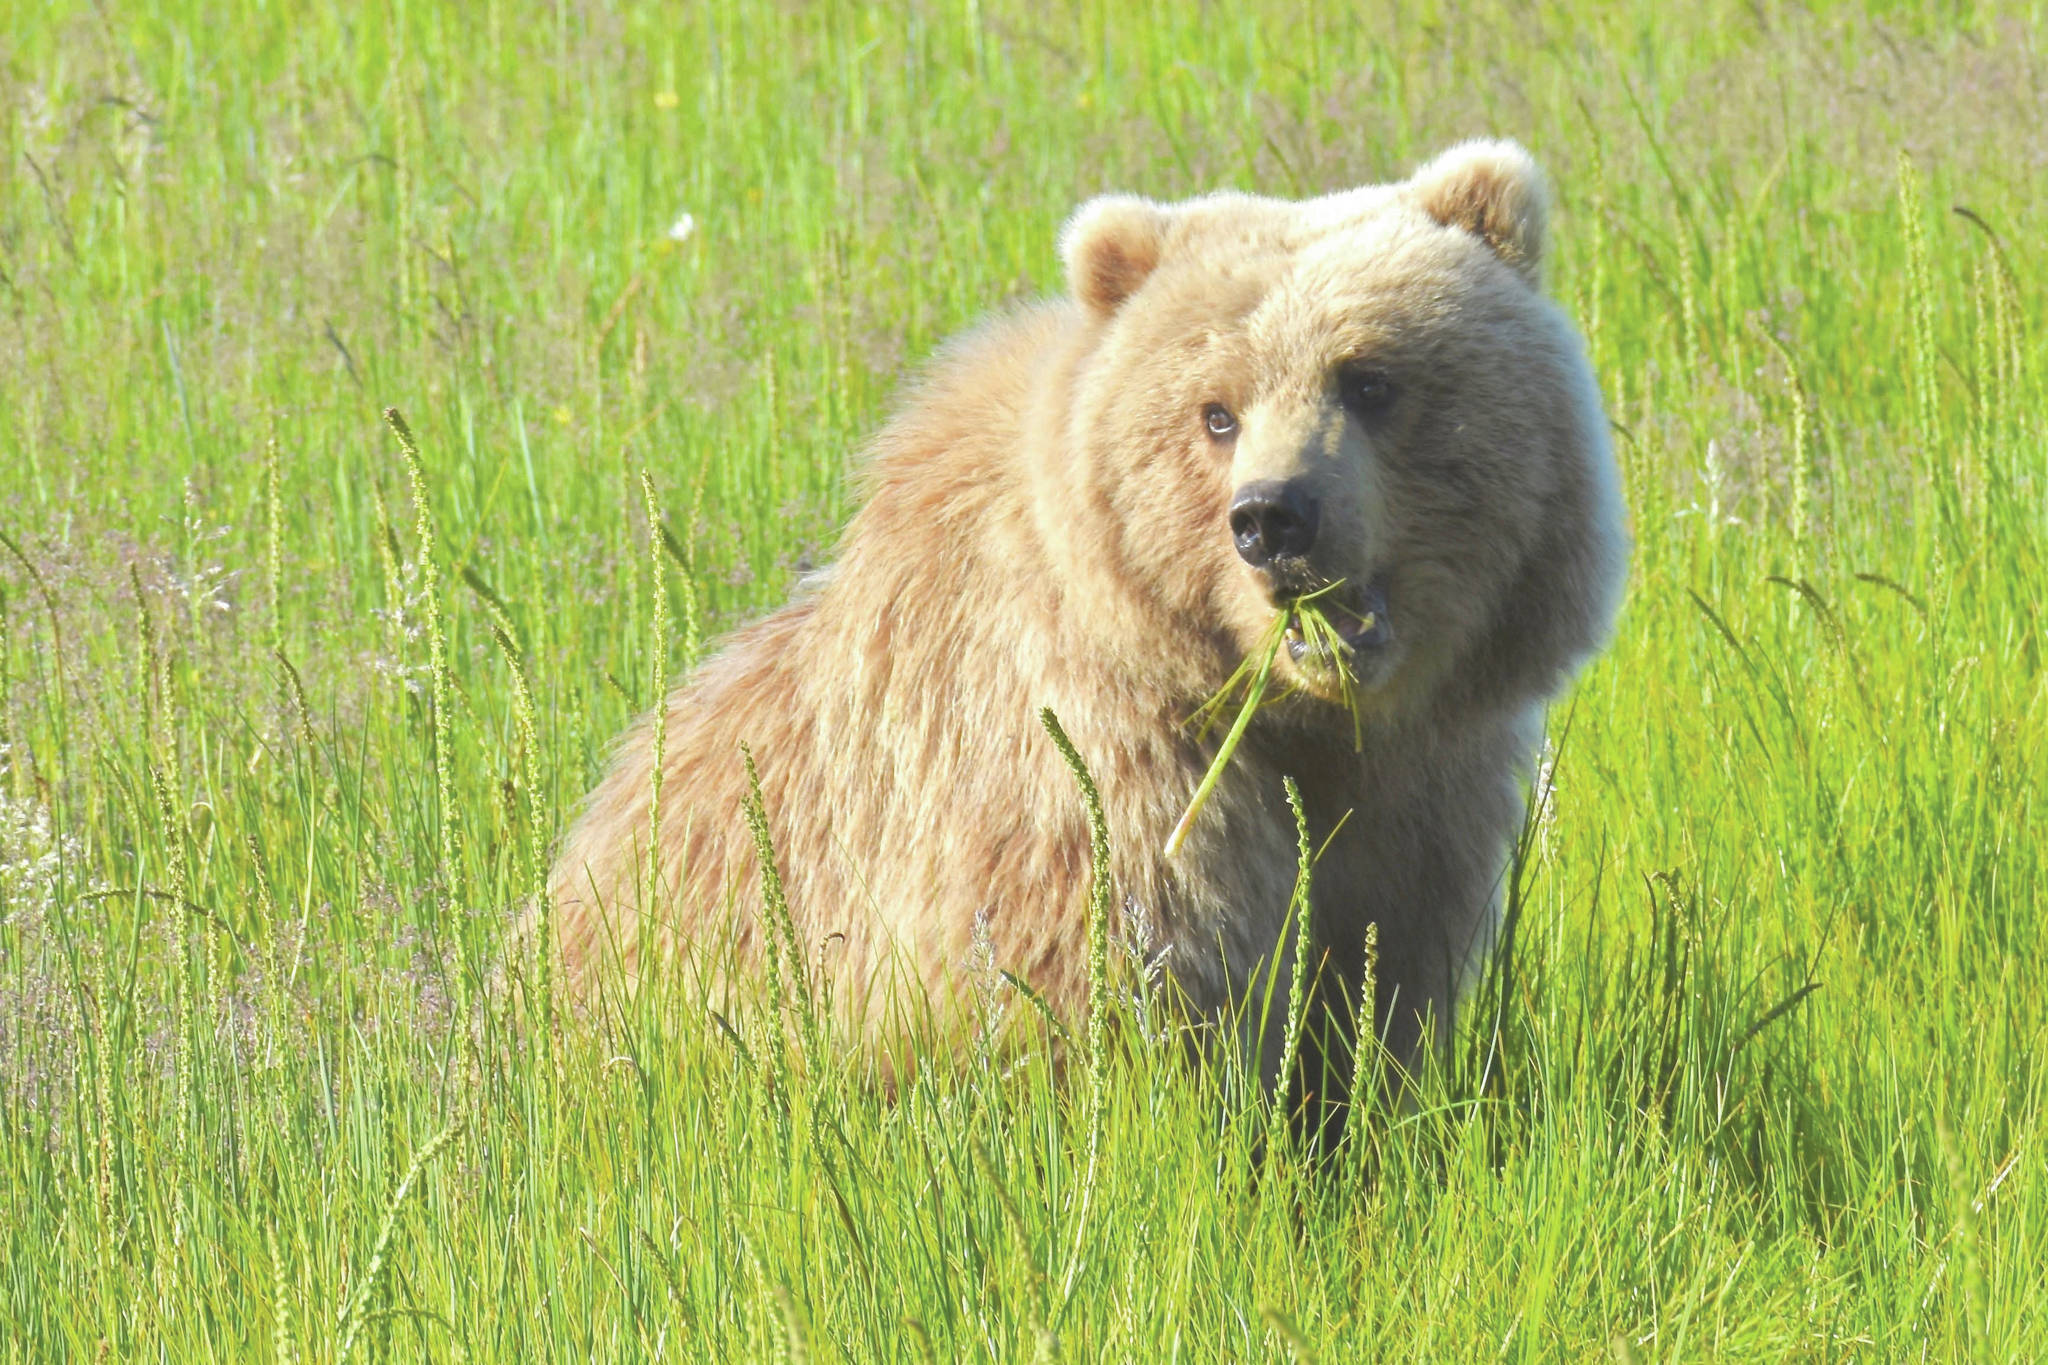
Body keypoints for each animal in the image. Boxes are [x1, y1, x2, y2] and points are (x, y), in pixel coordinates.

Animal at [548, 139, 1630, 1096]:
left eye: (1368, 378)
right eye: (1215, 411)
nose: (1274, 516)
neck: (1297, 718)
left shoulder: (1417, 799)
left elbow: (1369, 994)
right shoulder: (1099, 772)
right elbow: (1112, 994)